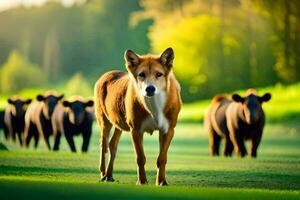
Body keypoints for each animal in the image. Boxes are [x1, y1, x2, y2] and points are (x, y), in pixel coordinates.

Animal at [95, 47, 182, 185]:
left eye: (159, 74)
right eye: (141, 74)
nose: (150, 88)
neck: (153, 107)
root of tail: (106, 74)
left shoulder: (168, 129)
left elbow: (162, 158)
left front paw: (161, 181)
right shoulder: (135, 129)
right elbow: (140, 157)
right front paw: (142, 181)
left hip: (118, 123)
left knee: (112, 145)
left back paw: (109, 175)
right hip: (104, 120)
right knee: (103, 145)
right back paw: (103, 173)